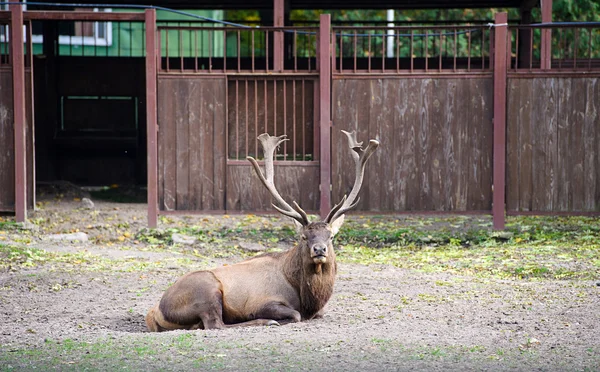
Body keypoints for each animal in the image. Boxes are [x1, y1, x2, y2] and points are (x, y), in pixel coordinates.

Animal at [145, 129, 378, 332]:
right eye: (304, 237)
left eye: (331, 237)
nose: (319, 249)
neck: (307, 298)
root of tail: (156, 310)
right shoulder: (262, 301)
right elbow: (295, 315)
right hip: (206, 291)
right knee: (215, 324)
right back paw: (266, 322)